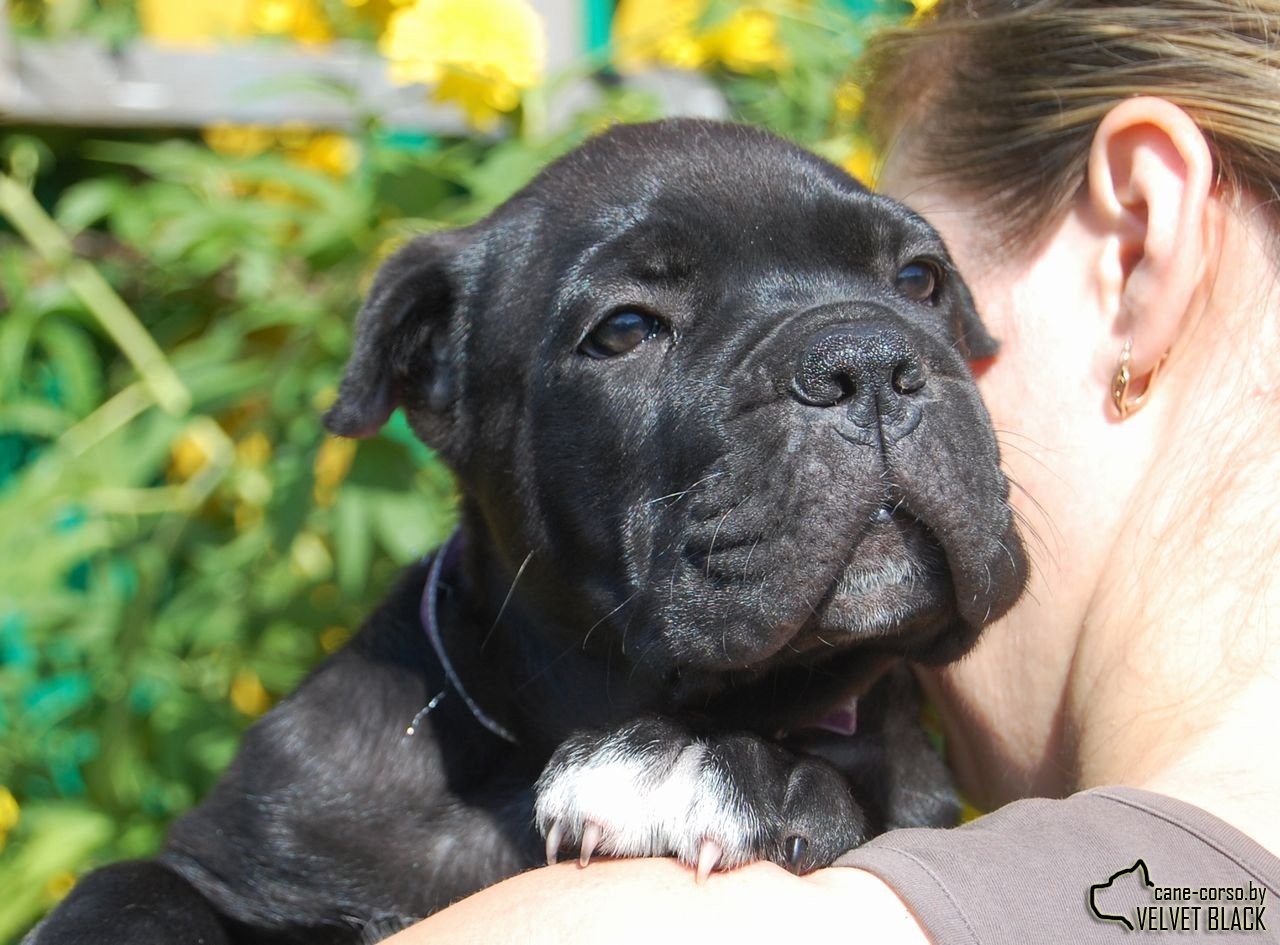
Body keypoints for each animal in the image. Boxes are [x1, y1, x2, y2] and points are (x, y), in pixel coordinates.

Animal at [27, 119, 1029, 942]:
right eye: (623, 329)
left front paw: (721, 767)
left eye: (920, 278)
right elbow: (127, 889)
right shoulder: (236, 862)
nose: (866, 358)